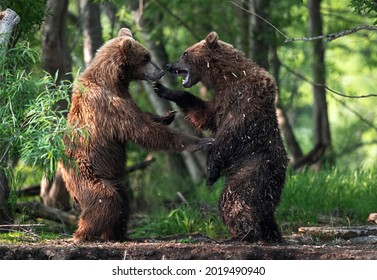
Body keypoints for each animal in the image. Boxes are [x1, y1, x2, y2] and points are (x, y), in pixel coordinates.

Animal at [60, 29, 210, 243]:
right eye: (145, 57)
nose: (160, 72)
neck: (113, 80)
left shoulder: (124, 96)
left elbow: (142, 116)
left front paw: (166, 115)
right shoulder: (109, 106)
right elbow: (142, 130)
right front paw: (199, 142)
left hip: (113, 177)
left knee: (123, 201)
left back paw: (116, 234)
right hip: (86, 173)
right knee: (105, 200)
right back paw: (84, 234)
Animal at [153, 31, 288, 243]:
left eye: (185, 53)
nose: (168, 65)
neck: (226, 76)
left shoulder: (243, 102)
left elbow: (227, 136)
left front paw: (210, 173)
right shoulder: (221, 100)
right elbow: (204, 113)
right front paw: (163, 89)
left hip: (253, 167)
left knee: (236, 197)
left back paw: (244, 233)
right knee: (265, 209)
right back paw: (270, 233)